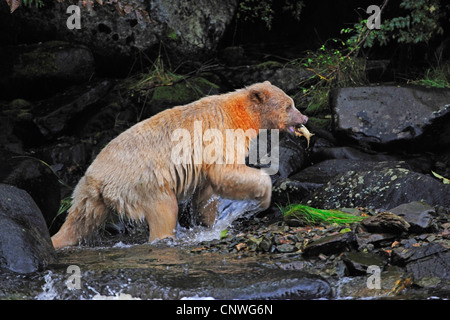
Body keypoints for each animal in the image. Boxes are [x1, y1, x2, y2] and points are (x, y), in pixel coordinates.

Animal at [51, 81, 308, 249]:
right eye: (288, 106)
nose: (304, 119)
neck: (239, 115)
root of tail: (97, 178)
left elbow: (206, 191)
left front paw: (210, 221)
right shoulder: (220, 134)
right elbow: (225, 171)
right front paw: (262, 197)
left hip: (88, 197)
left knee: (79, 221)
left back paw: (58, 240)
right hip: (144, 183)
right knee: (164, 210)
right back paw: (165, 238)